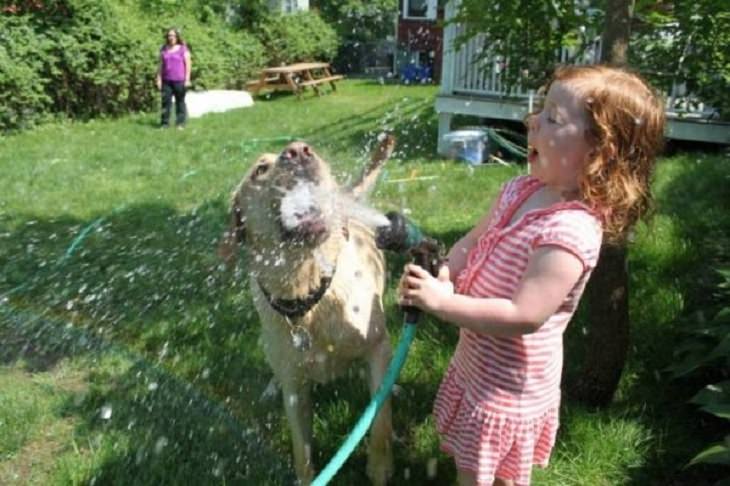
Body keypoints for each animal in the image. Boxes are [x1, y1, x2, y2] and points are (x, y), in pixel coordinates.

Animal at [219, 136, 396, 482]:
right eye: (259, 170)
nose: (299, 150)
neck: (308, 295)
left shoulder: (378, 346)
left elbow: (380, 419)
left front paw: (380, 468)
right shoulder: (295, 389)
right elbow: (301, 452)